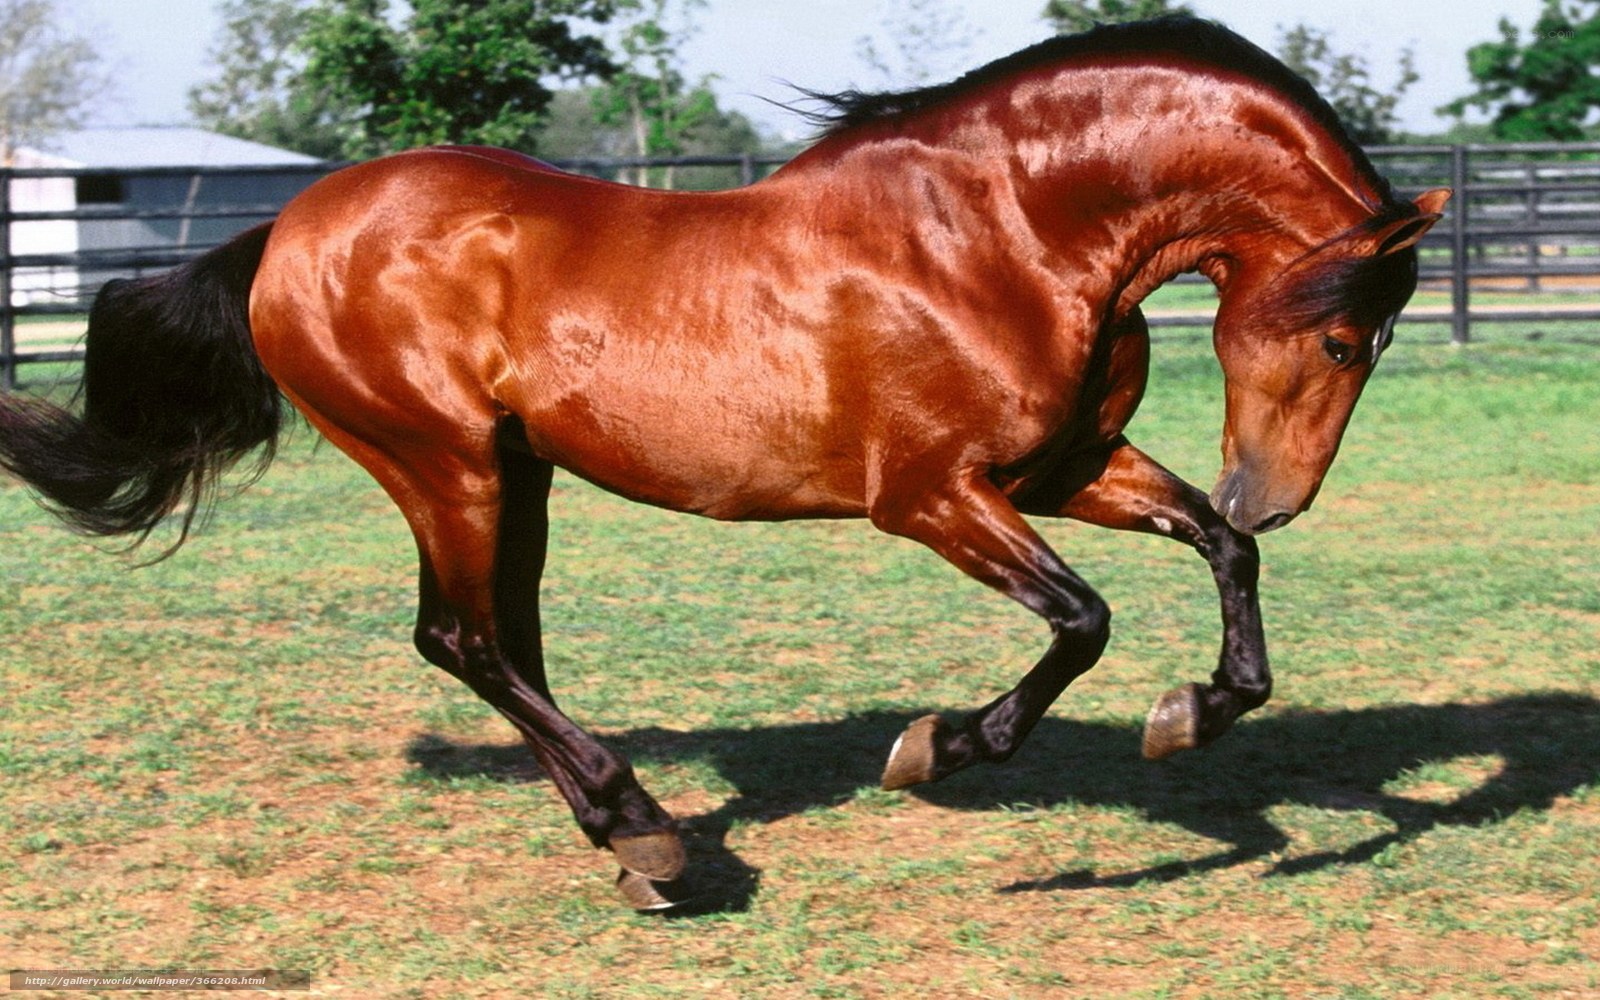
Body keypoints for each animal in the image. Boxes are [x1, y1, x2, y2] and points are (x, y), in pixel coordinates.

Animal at [0, 17, 1445, 909]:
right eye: (1341, 332)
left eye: (1377, 337)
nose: (1282, 492)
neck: (1000, 233)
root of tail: (292, 227)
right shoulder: (928, 496)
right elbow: (1081, 620)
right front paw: (940, 746)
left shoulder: (1060, 467)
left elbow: (1215, 549)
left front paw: (1191, 711)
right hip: (441, 461)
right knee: (460, 640)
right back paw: (645, 826)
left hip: (514, 473)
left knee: (503, 639)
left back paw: (635, 846)